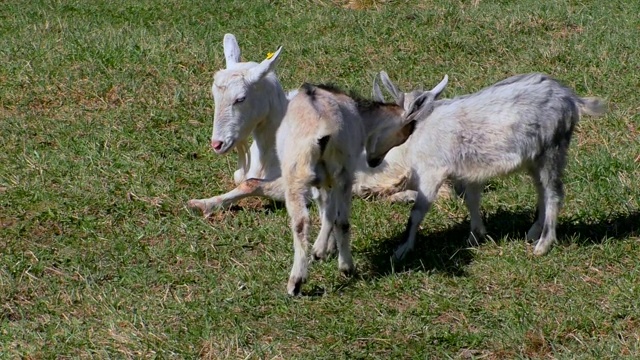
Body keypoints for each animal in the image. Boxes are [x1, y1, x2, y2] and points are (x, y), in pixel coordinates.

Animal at [186, 34, 440, 217]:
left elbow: (250, 183)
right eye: (214, 96)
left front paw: (201, 204)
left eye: (241, 98)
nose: (217, 143)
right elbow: (242, 178)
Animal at [280, 77, 450, 294]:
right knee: (336, 219)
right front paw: (323, 250)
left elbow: (325, 208)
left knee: (306, 221)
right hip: (334, 171)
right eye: (404, 133)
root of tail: (321, 129)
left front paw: (323, 250)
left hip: (303, 173)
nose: (374, 161)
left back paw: (301, 279)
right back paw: (340, 268)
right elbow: (328, 210)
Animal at [378, 72, 608, 258]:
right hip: (535, 159)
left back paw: (543, 245)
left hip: (552, 149)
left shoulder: (431, 171)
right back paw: (533, 232)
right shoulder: (468, 172)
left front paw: (402, 250)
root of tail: (571, 99)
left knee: (554, 193)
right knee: (542, 190)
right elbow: (472, 200)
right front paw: (475, 236)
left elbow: (417, 212)